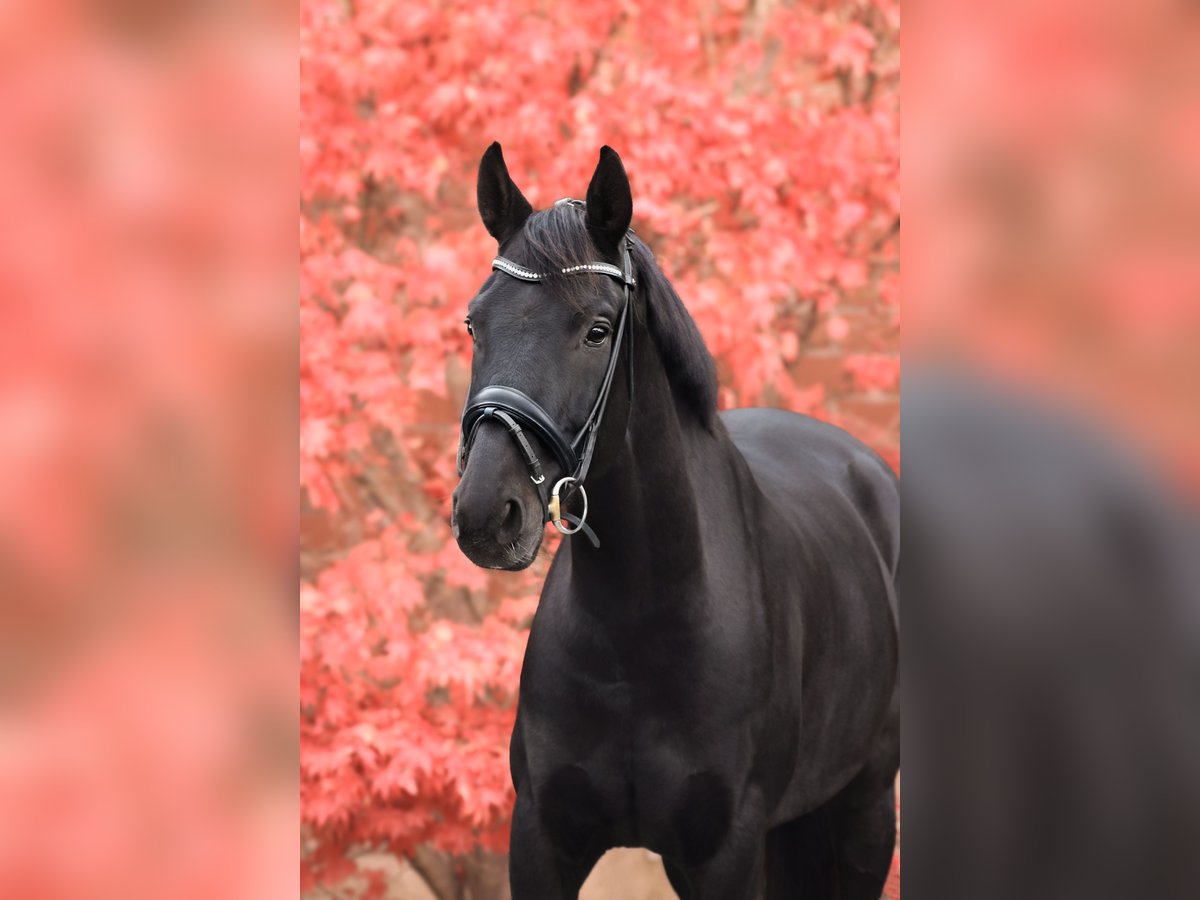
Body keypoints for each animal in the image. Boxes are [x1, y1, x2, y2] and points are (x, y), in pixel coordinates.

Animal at [451, 144, 902, 897]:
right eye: (474, 323)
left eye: (597, 329)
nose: (487, 510)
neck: (639, 622)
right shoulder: (542, 840)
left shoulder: (725, 852)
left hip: (865, 812)